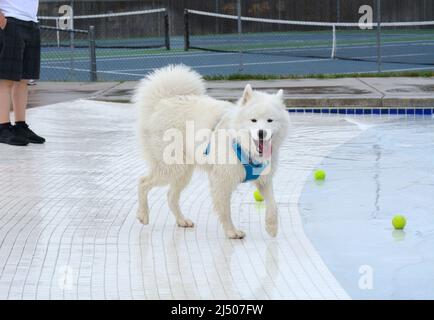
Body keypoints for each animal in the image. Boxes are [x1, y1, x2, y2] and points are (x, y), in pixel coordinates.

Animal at [132, 64, 288, 238]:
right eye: (253, 120)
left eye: (270, 120)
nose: (262, 133)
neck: (241, 144)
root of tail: (162, 102)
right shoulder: (221, 180)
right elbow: (225, 210)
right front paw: (232, 232)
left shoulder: (264, 180)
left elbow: (273, 204)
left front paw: (272, 227)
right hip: (173, 167)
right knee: (143, 182)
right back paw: (143, 214)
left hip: (184, 171)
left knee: (171, 196)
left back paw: (182, 221)